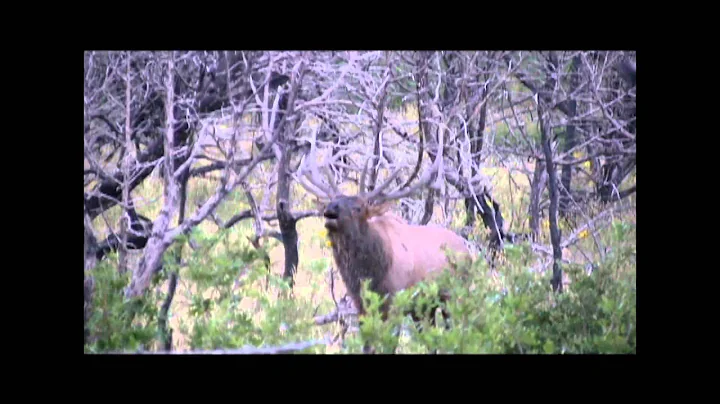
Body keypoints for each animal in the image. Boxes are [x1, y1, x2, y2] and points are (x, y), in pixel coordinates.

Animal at [296, 145, 474, 354]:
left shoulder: (396, 302)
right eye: (332, 200)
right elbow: (367, 346)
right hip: (425, 308)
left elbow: (389, 345)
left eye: (358, 208)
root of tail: (468, 251)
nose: (330, 210)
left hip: (455, 295)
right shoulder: (361, 306)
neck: (369, 274)